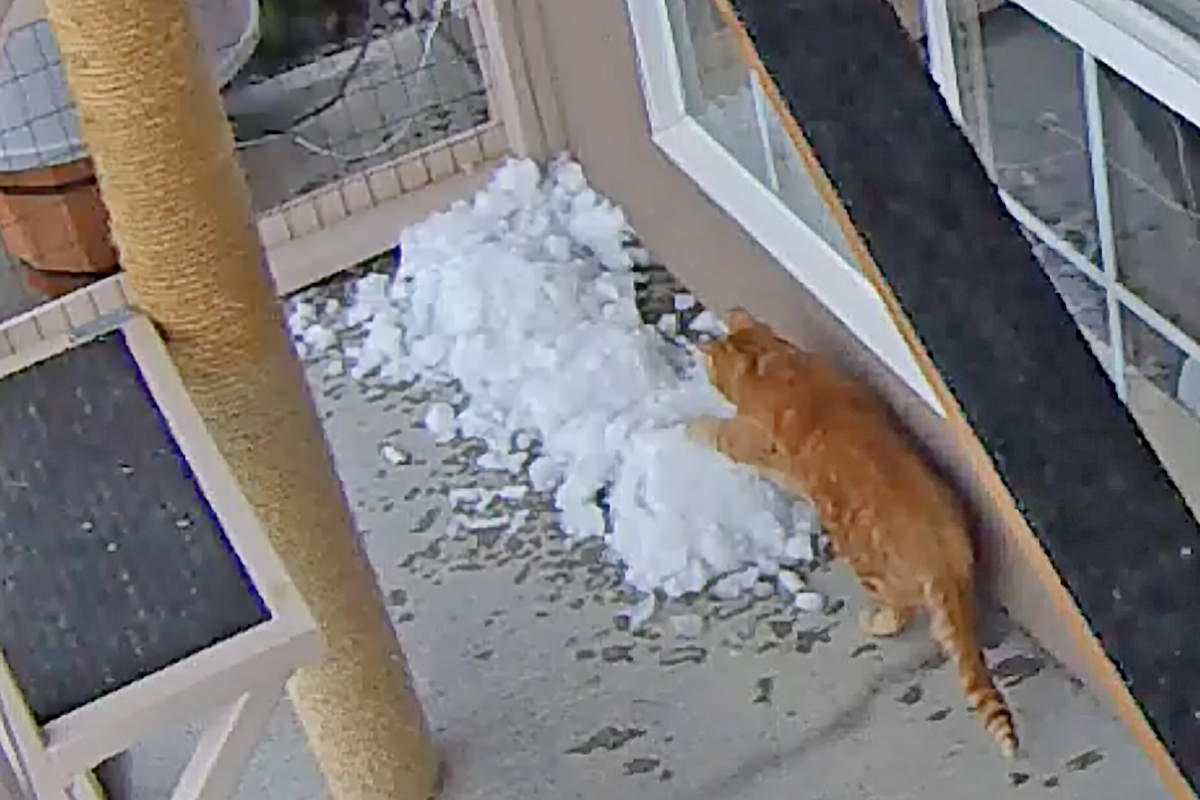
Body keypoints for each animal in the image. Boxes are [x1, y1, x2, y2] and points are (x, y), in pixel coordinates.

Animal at [691, 307, 1017, 758]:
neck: (771, 363)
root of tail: (939, 559)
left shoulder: (741, 438)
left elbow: (715, 432)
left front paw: (689, 425)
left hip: (865, 565)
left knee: (900, 613)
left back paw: (876, 622)